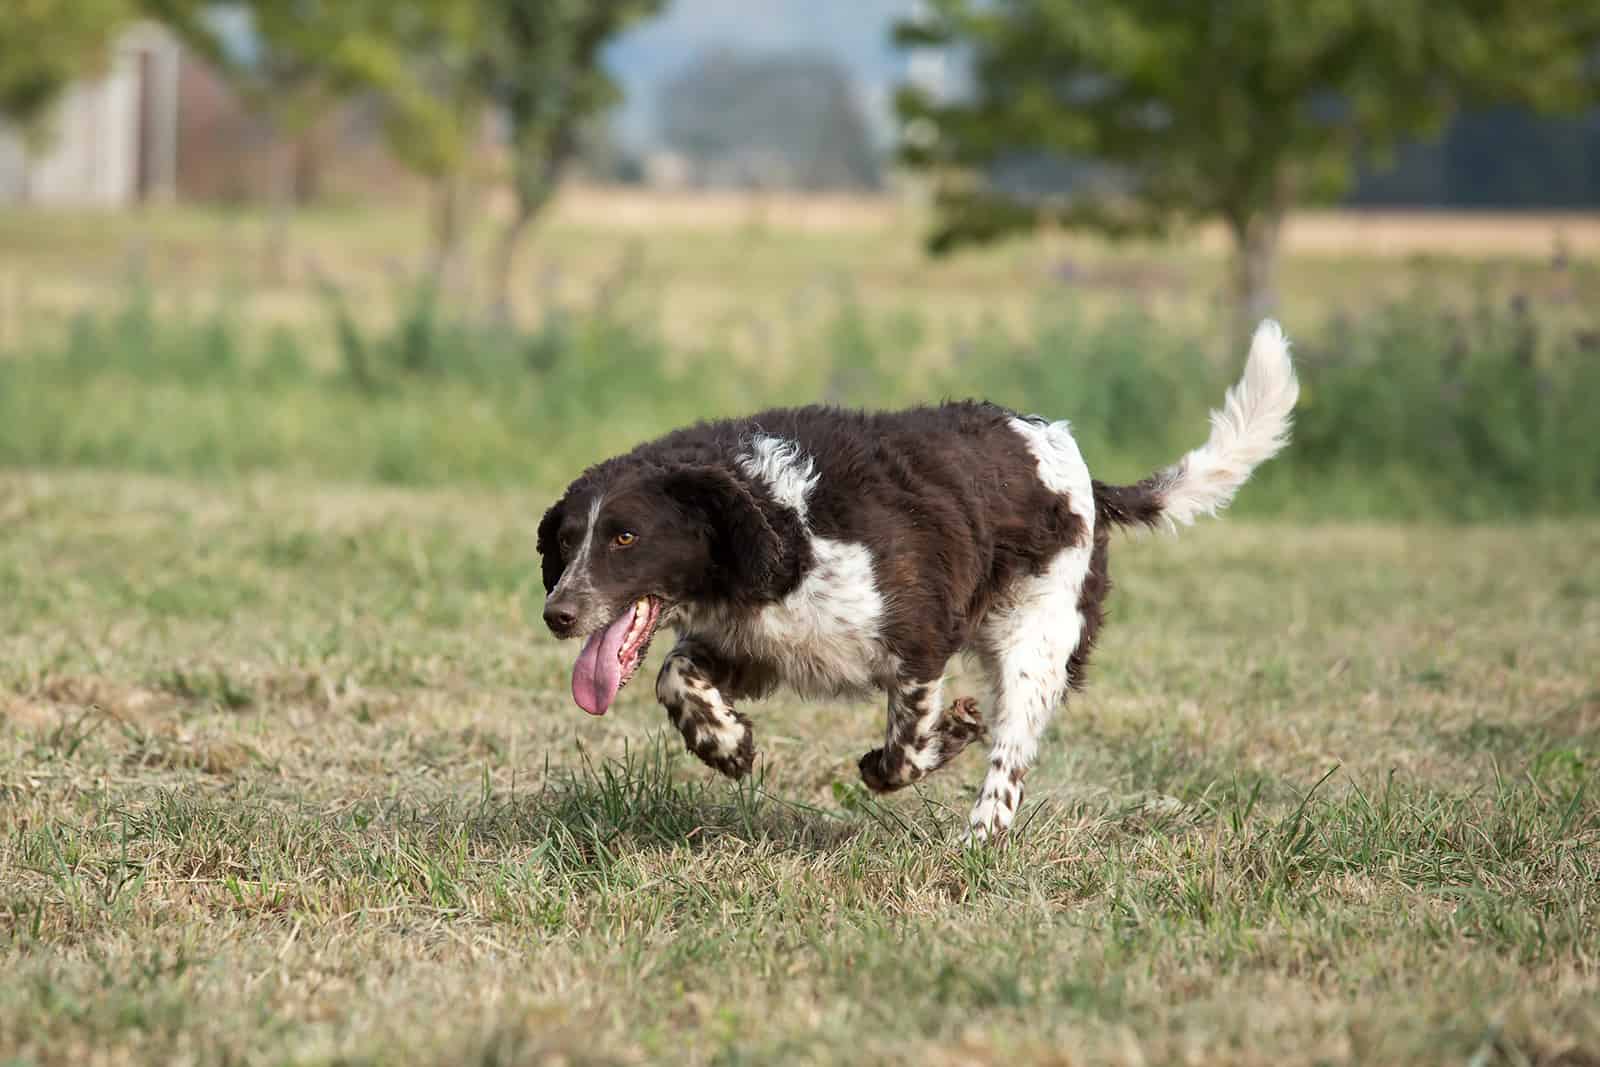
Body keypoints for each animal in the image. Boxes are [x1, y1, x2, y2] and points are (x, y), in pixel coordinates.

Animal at [537, 321, 1299, 838]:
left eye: (625, 537)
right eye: (567, 540)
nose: (558, 614)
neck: (780, 514)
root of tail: (1078, 463)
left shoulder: (918, 639)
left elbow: (904, 749)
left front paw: (945, 735)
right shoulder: (758, 643)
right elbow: (676, 674)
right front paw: (725, 743)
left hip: (1037, 638)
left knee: (1011, 751)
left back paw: (981, 835)